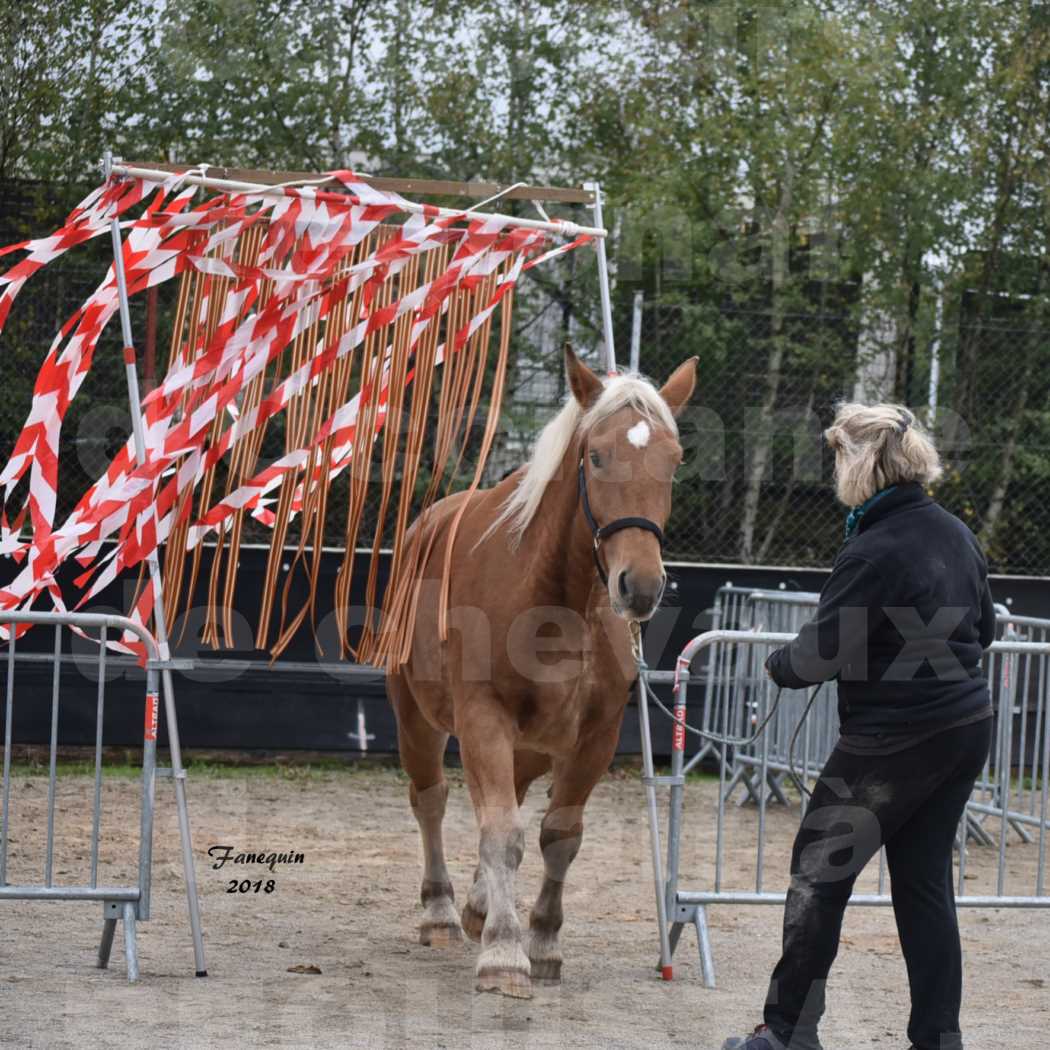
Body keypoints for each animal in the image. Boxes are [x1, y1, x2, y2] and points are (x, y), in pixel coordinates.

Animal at [386, 348, 697, 995]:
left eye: (673, 460)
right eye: (596, 455)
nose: (641, 585)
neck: (557, 603)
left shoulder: (596, 738)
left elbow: (559, 837)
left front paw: (544, 939)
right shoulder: (483, 720)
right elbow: (502, 833)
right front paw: (505, 952)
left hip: (528, 748)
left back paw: (480, 905)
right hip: (416, 719)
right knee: (431, 801)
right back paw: (442, 911)